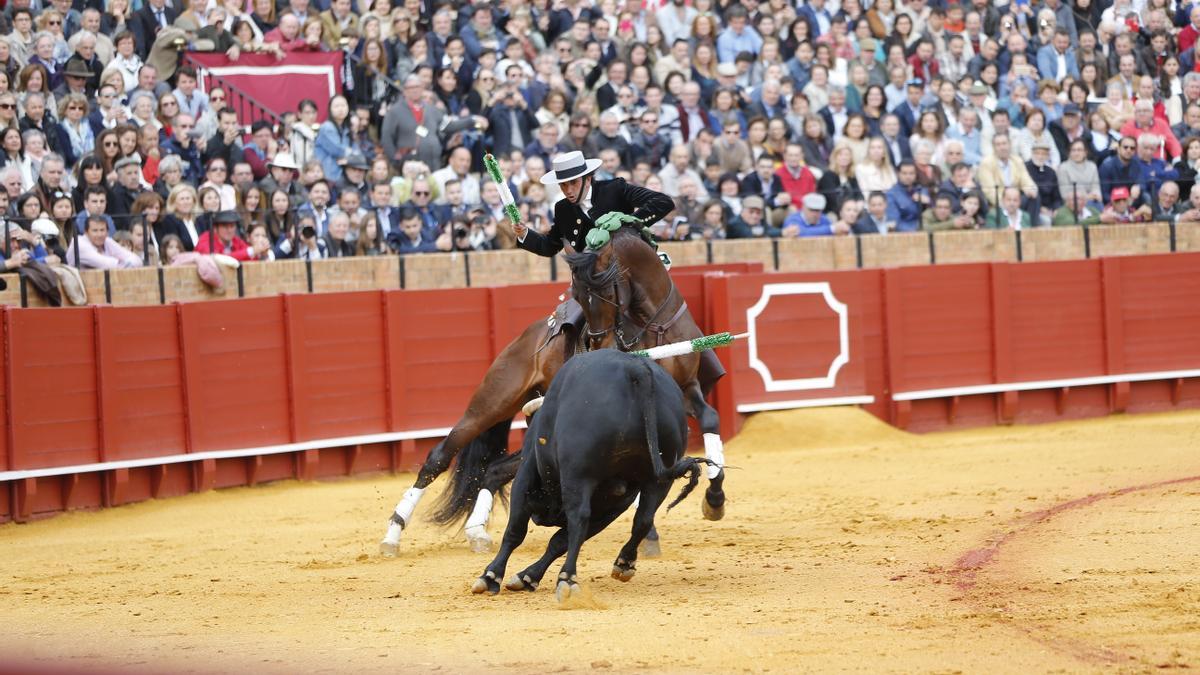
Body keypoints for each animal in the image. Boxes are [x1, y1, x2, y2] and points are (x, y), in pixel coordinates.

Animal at [379, 228, 724, 554]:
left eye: (606, 290)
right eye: (578, 295)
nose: (603, 345)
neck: (655, 323)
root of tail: (524, 338)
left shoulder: (687, 389)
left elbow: (710, 419)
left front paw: (714, 498)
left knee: (494, 470)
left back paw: (476, 531)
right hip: (492, 403)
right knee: (438, 457)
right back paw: (393, 533)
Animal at [470, 345, 710, 598]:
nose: (541, 518)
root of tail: (636, 369)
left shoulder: (525, 477)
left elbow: (517, 531)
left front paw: (491, 576)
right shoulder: (612, 504)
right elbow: (559, 541)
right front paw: (528, 577)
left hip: (579, 474)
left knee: (578, 517)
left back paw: (567, 578)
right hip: (657, 480)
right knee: (643, 518)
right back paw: (624, 563)